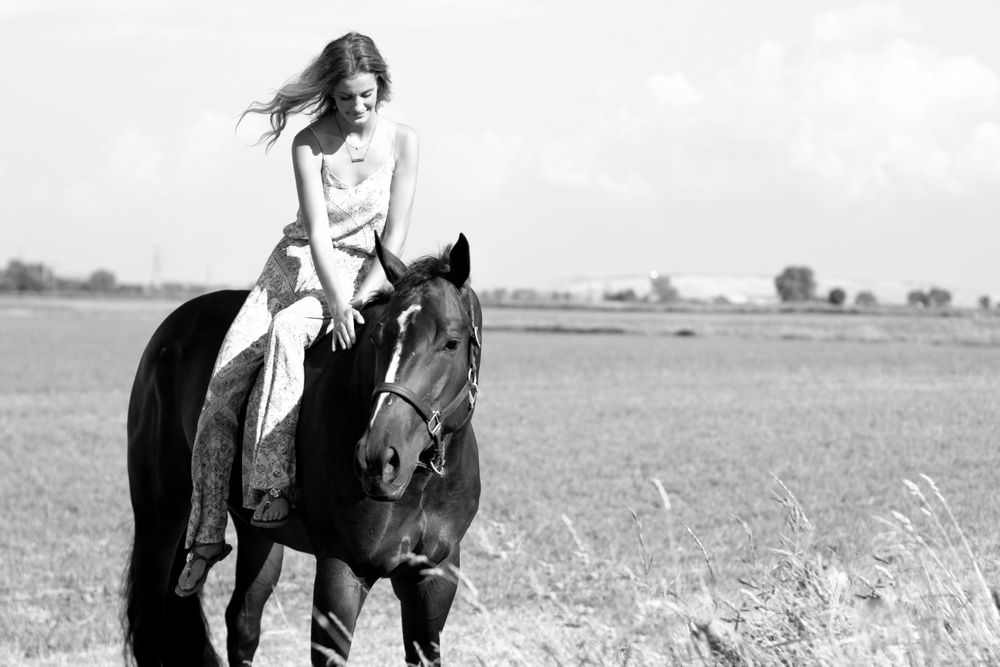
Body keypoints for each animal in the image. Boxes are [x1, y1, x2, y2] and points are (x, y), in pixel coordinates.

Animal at [122, 235, 482, 666]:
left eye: (451, 343)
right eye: (377, 338)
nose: (378, 460)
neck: (421, 484)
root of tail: (167, 333)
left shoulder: (434, 578)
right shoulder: (340, 571)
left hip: (258, 536)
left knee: (242, 621)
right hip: (158, 521)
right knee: (151, 626)